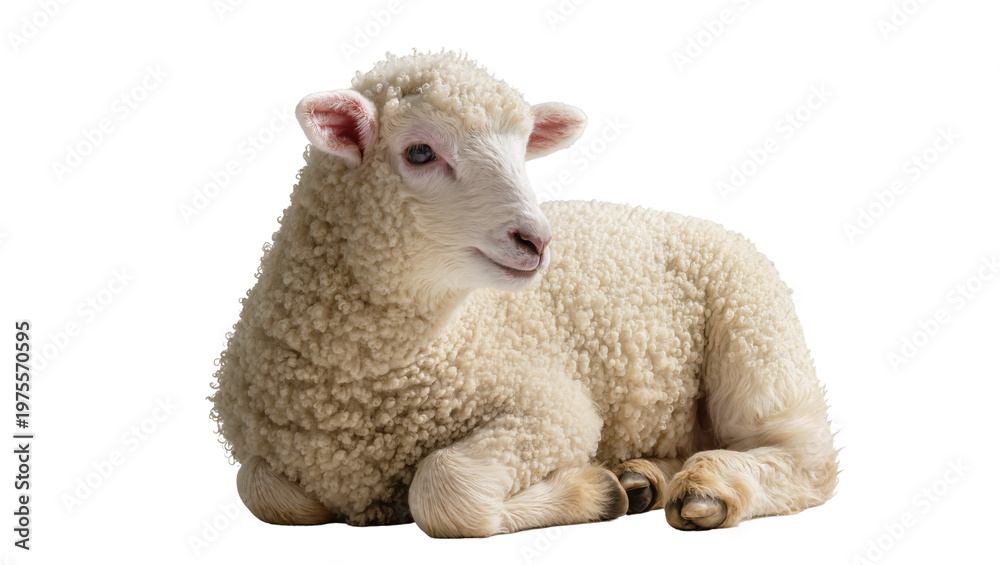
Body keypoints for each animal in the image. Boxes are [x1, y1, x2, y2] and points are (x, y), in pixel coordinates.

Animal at [209, 50, 839, 537]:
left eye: (523, 153)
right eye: (419, 152)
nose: (537, 240)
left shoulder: (551, 409)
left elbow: (444, 488)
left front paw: (593, 492)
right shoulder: (269, 454)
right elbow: (261, 490)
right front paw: (614, 488)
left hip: (755, 338)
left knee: (806, 461)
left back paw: (706, 489)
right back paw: (645, 478)